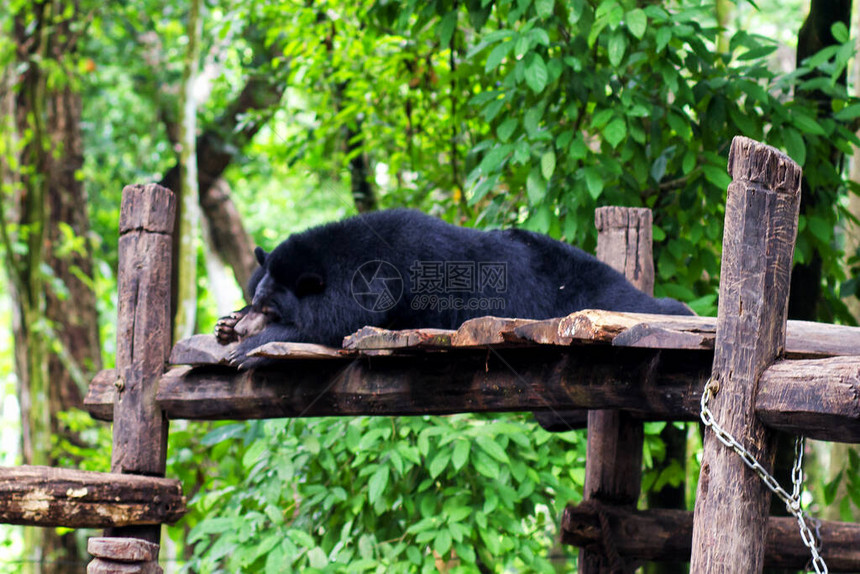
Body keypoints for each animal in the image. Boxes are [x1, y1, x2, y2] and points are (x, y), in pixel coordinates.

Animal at [217, 208, 692, 368]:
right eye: (254, 298)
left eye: (272, 309)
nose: (242, 328)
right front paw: (227, 325)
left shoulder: (397, 284)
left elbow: (335, 325)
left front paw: (248, 349)